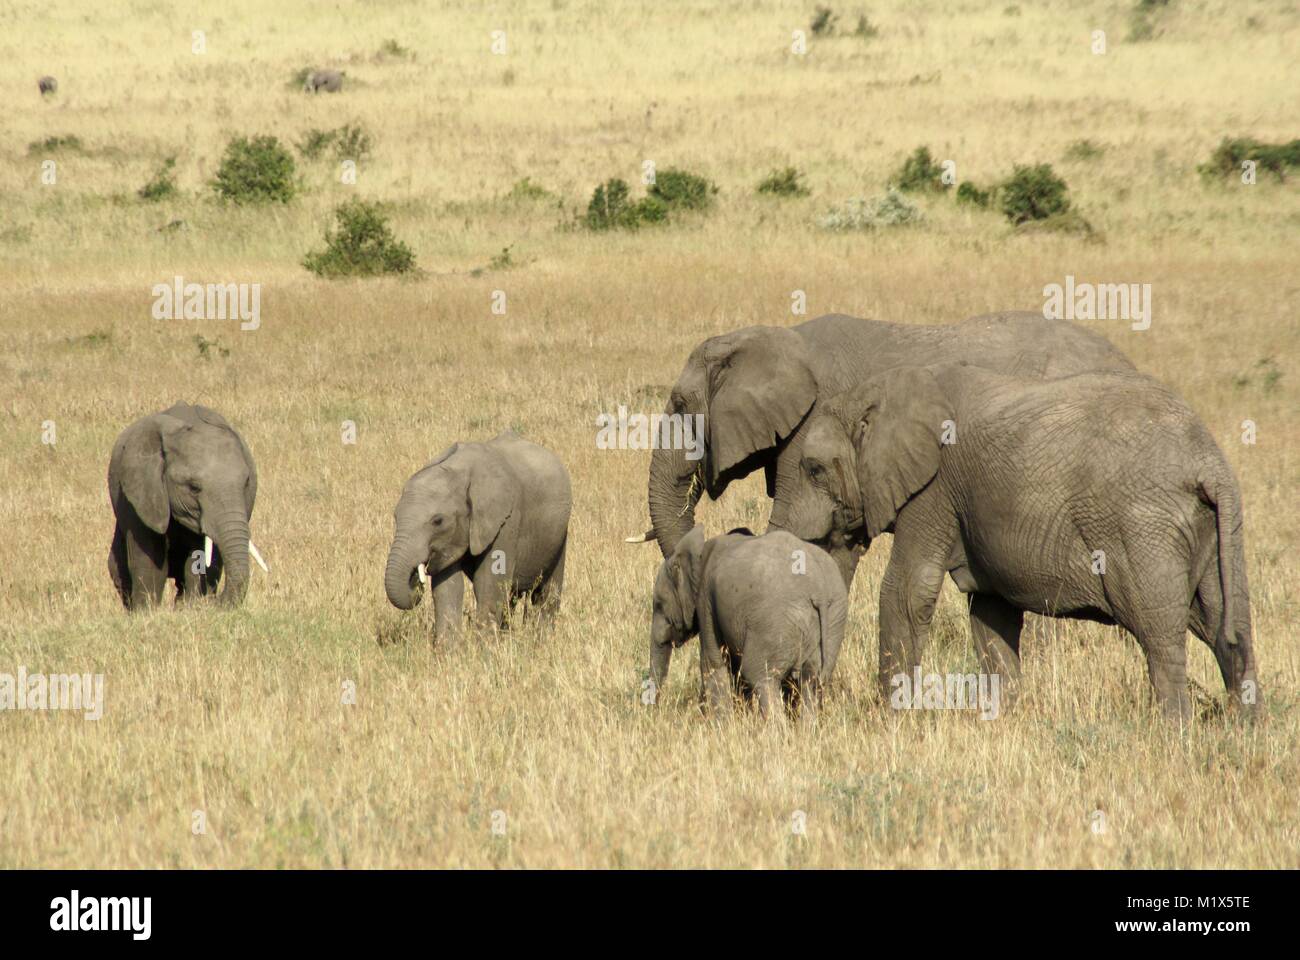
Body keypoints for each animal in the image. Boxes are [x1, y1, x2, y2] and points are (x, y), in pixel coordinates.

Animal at [109, 403, 266, 606]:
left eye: (247, 483)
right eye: (193, 488)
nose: (214, 602)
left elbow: (199, 558)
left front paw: (191, 607)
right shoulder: (140, 494)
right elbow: (149, 559)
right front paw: (146, 610)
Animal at [382, 429, 572, 640]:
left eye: (438, 521)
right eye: (396, 517)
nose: (416, 574)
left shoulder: (506, 520)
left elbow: (489, 582)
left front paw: (485, 647)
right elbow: (448, 587)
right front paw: (448, 648)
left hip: (559, 535)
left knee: (545, 593)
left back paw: (540, 641)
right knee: (511, 597)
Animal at [650, 522, 852, 718]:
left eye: (658, 605)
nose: (655, 712)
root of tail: (818, 589)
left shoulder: (706, 599)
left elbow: (714, 664)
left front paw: (722, 725)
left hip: (773, 623)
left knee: (762, 677)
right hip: (834, 618)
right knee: (811, 681)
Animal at [795, 364, 1253, 718]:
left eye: (813, 470)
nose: (813, 699)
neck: (880, 389)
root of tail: (1207, 461)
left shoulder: (935, 490)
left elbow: (908, 592)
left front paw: (890, 721)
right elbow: (991, 612)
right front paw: (1005, 718)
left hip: (1141, 529)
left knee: (1160, 632)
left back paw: (1175, 732)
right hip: (1215, 530)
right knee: (1226, 623)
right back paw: (1245, 729)